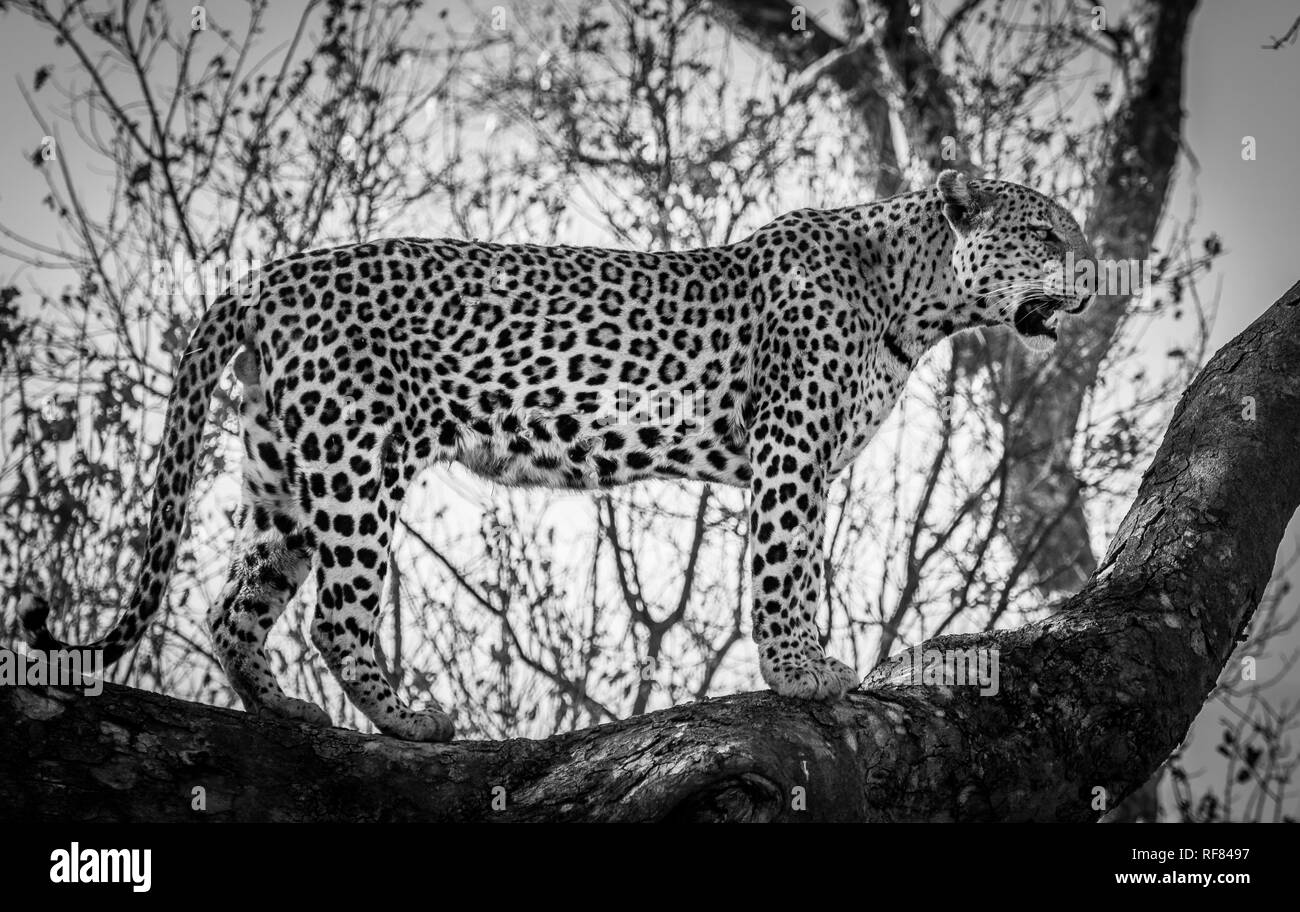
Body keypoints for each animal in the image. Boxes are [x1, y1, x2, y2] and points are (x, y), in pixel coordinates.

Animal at [19, 170, 1094, 742]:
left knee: (234, 602)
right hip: (358, 457)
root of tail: (266, 277)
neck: (916, 296)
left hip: (287, 466)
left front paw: (805, 664)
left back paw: (280, 708)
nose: (1094, 278)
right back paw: (409, 722)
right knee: (338, 612)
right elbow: (786, 567)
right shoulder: (791, 452)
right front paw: (801, 673)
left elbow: (799, 565)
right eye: (1045, 233)